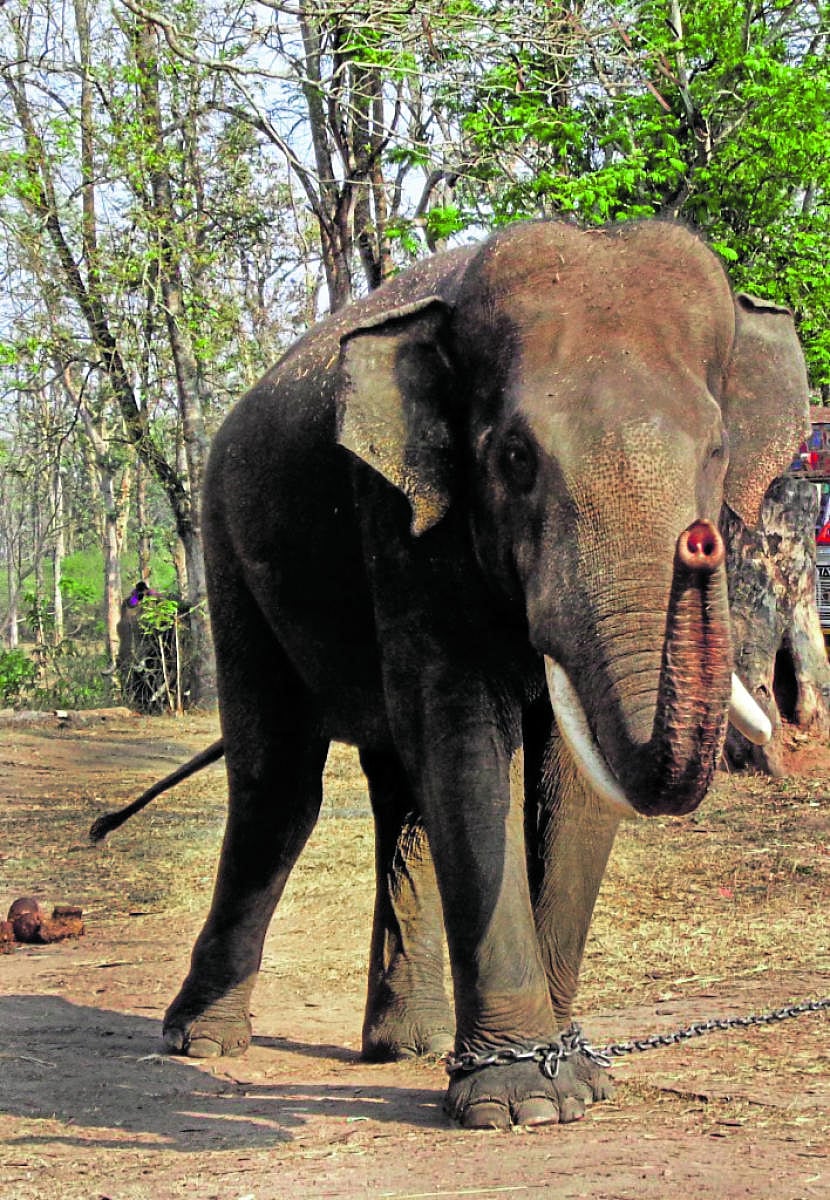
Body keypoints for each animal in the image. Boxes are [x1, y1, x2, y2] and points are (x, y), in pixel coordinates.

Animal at [158, 220, 808, 1130]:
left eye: (717, 450)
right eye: (514, 457)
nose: (701, 541)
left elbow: (569, 776)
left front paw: (573, 1078)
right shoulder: (402, 516)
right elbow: (468, 743)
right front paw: (524, 1102)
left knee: (401, 795)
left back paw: (410, 1045)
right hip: (227, 543)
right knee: (278, 788)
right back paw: (201, 1043)